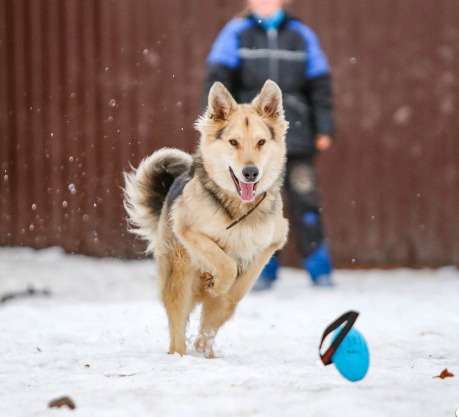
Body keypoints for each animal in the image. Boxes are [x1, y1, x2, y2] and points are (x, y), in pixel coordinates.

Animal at [124, 79, 290, 358]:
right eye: (233, 142)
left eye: (261, 142)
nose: (251, 172)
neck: (238, 209)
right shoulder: (187, 229)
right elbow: (225, 262)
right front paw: (220, 282)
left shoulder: (273, 240)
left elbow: (243, 278)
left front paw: (227, 288)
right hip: (179, 278)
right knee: (178, 327)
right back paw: (180, 355)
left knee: (209, 326)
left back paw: (206, 351)